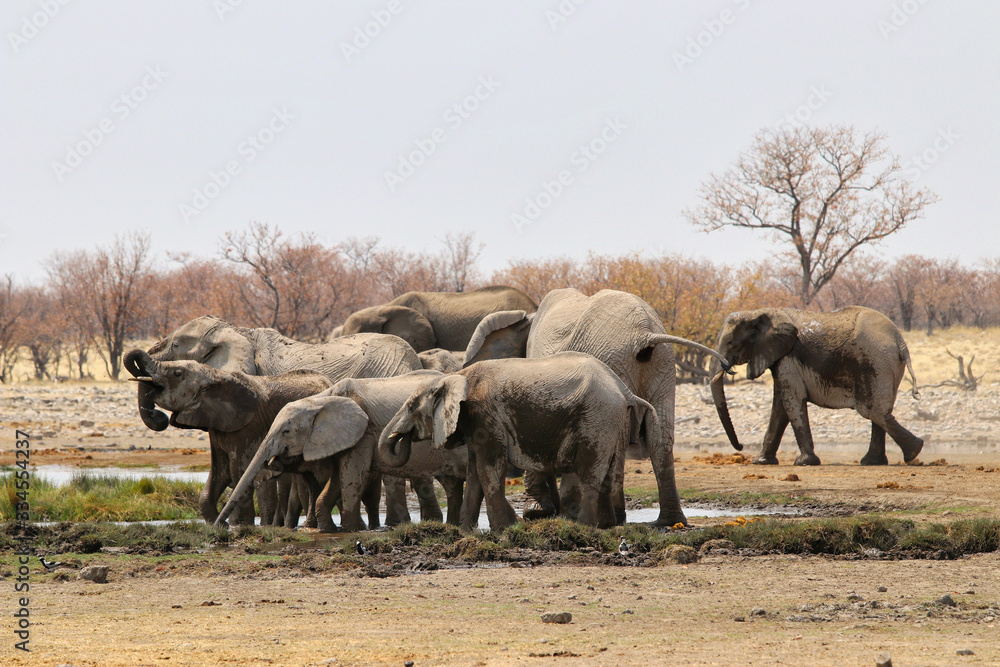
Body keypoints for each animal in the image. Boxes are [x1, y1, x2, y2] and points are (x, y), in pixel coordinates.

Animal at [123, 350, 332, 527]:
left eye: (177, 373)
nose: (159, 416)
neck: (214, 375)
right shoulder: (218, 426)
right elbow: (220, 471)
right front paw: (219, 525)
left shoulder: (247, 427)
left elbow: (237, 470)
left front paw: (241, 526)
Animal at [216, 370, 468, 532]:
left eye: (286, 431)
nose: (220, 527)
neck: (322, 399)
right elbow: (337, 478)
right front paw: (328, 529)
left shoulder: (361, 433)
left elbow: (350, 477)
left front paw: (349, 529)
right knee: (451, 484)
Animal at [379, 352, 659, 532]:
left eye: (411, 407)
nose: (403, 438)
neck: (456, 376)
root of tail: (623, 388)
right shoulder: (474, 422)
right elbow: (474, 473)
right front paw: (467, 533)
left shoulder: (485, 415)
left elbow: (488, 469)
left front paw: (502, 531)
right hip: (611, 420)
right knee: (609, 470)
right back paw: (606, 527)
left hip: (598, 416)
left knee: (591, 471)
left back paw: (583, 527)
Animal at [462, 288, 731, 527]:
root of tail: (646, 335)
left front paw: (538, 513)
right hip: (663, 362)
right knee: (660, 437)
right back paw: (668, 521)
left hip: (615, 358)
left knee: (619, 441)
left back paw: (613, 519)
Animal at [709, 306, 924, 466]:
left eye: (731, 343)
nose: (741, 446)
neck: (758, 312)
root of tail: (900, 342)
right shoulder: (781, 358)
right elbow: (780, 406)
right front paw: (761, 461)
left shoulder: (788, 358)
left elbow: (792, 400)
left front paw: (804, 462)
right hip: (886, 365)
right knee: (881, 410)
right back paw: (874, 461)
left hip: (875, 361)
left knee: (872, 409)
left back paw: (914, 451)